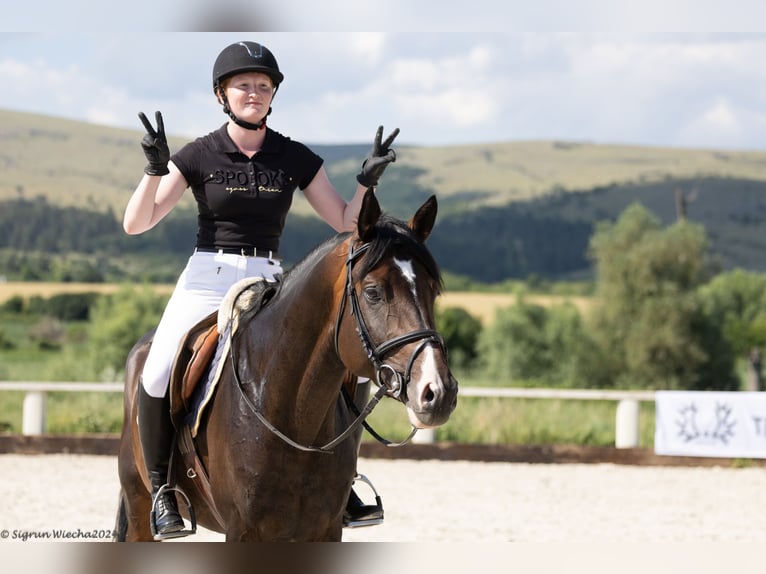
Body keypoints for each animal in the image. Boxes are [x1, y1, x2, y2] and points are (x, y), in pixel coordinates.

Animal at [115, 191, 462, 544]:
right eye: (373, 292)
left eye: (432, 291)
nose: (438, 392)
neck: (292, 416)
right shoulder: (242, 530)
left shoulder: (325, 529)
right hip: (139, 502)